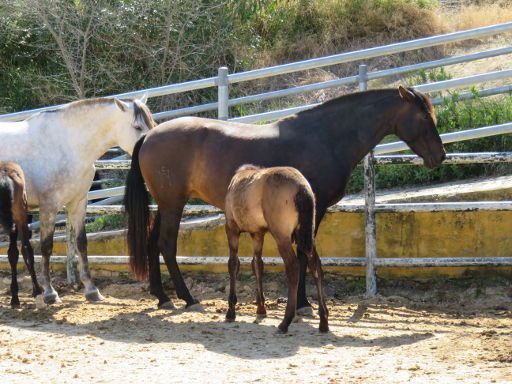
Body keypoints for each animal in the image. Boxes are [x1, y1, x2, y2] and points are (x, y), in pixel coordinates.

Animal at [123, 86, 444, 312]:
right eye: (424, 117)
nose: (440, 156)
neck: (326, 137)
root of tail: (150, 136)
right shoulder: (314, 210)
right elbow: (303, 254)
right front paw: (302, 304)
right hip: (173, 204)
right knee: (166, 244)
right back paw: (188, 298)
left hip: (166, 204)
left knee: (152, 243)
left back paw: (163, 297)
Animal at [224, 165, 328, 332]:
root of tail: (302, 189)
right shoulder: (257, 233)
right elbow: (257, 264)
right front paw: (261, 308)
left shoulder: (231, 228)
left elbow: (233, 264)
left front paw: (231, 311)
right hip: (306, 235)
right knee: (315, 266)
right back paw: (323, 321)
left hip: (282, 236)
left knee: (293, 267)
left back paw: (285, 322)